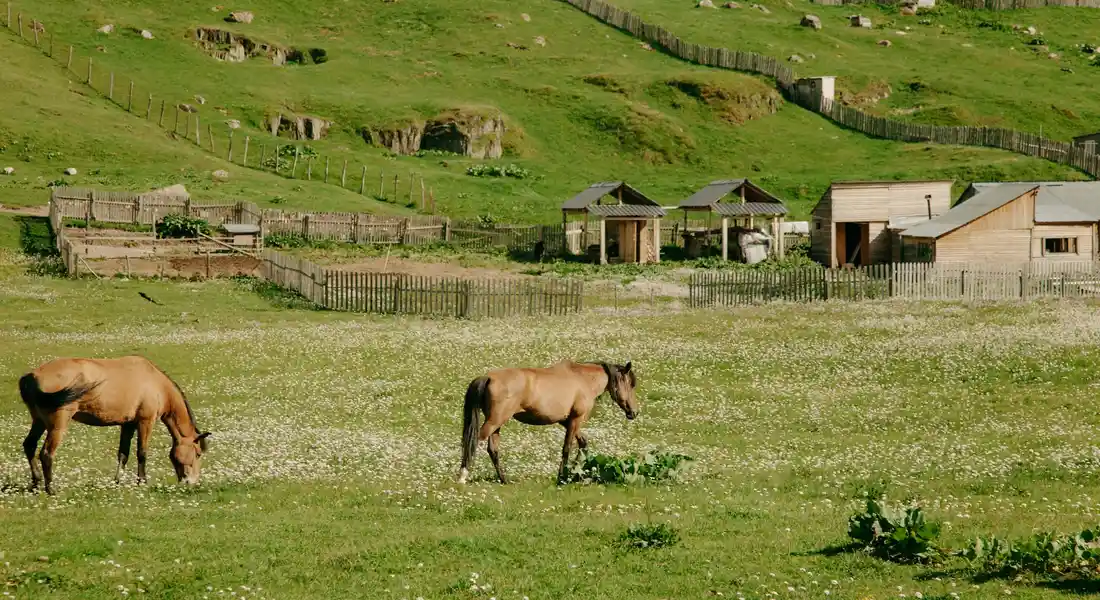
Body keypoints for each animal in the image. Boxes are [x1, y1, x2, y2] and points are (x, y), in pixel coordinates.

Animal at [18, 355, 212, 494]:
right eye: (198, 453)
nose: (192, 482)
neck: (155, 383)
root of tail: (32, 377)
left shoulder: (128, 425)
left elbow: (123, 454)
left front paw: (117, 481)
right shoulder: (145, 422)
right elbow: (142, 453)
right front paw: (142, 481)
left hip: (39, 421)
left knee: (29, 445)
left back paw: (36, 484)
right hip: (57, 425)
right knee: (46, 454)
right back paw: (51, 489)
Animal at [458, 360, 638, 485]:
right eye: (630, 385)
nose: (634, 412)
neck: (583, 379)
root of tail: (489, 378)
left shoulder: (567, 421)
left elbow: (583, 443)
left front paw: (574, 471)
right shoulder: (576, 420)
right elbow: (566, 448)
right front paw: (563, 477)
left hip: (497, 425)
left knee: (492, 450)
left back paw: (504, 479)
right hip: (494, 422)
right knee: (473, 442)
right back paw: (462, 477)